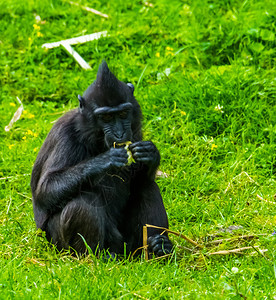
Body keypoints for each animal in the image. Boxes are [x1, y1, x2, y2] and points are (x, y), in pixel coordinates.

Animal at [30, 61, 172, 258]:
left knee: (147, 187)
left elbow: (141, 178)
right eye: (106, 117)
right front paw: (105, 160)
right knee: (83, 201)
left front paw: (151, 153)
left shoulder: (135, 132)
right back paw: (95, 258)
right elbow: (45, 189)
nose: (120, 134)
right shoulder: (64, 136)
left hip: (128, 245)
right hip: (63, 246)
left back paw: (157, 248)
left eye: (123, 113)